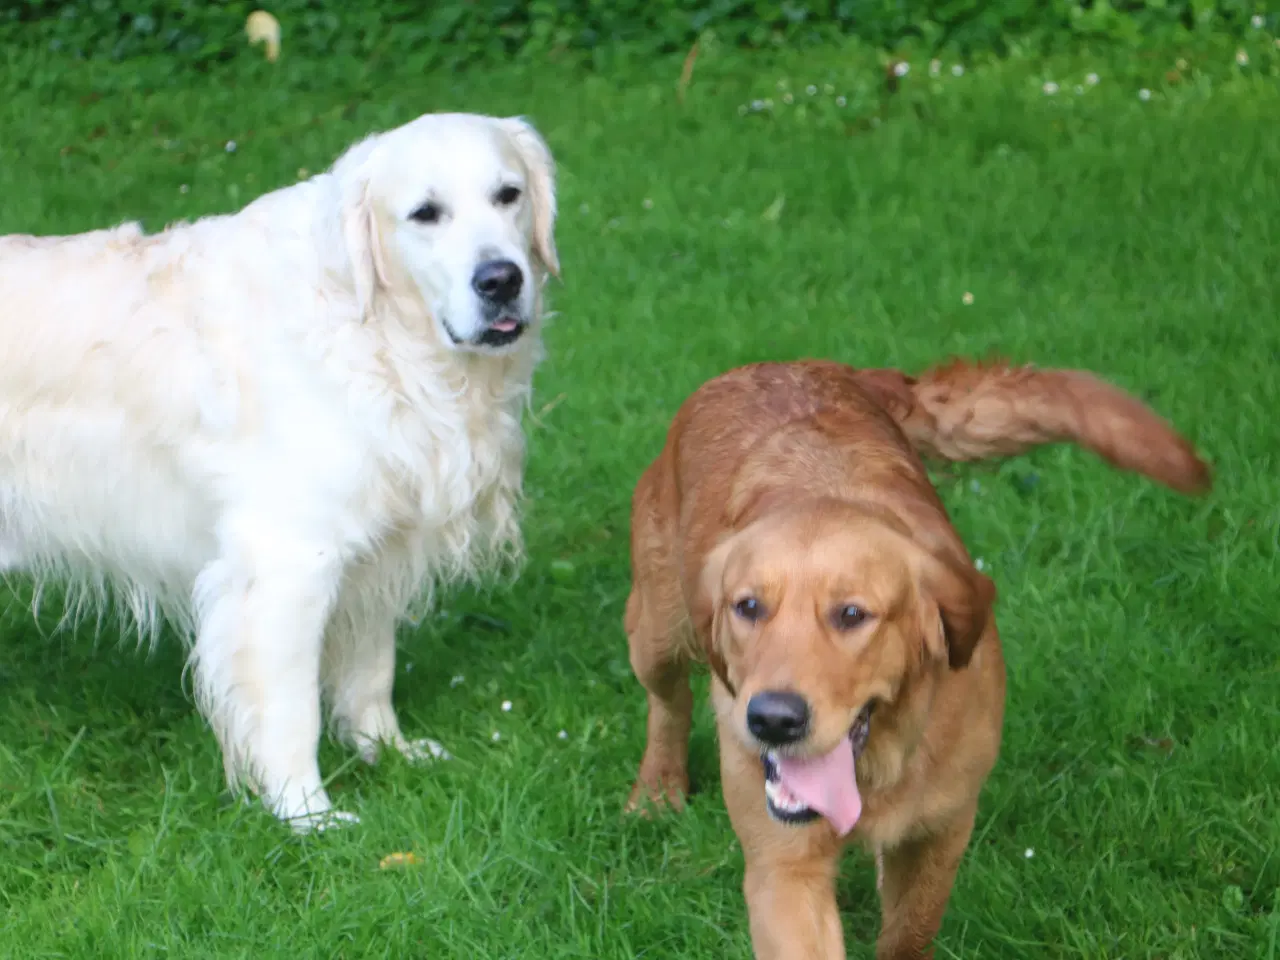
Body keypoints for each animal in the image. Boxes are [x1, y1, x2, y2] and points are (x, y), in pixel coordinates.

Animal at [0, 114, 560, 834]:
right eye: (425, 213)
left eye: (508, 194)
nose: (501, 279)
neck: (376, 334)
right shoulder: (287, 561)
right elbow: (291, 706)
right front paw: (306, 813)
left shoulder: (376, 550)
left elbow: (371, 670)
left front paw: (388, 751)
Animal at [624, 360, 1213, 960]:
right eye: (747, 606)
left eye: (852, 614)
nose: (772, 720)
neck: (880, 761)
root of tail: (801, 365)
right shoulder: (785, 866)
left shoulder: (942, 831)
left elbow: (908, 930)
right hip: (657, 633)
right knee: (668, 703)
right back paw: (657, 789)